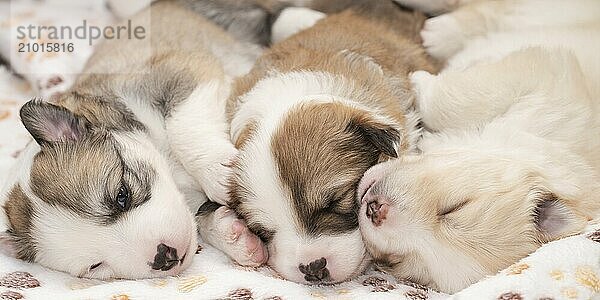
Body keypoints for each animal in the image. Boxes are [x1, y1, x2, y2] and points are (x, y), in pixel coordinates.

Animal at [0, 0, 274, 280]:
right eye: (96, 266)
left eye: (122, 195)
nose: (164, 257)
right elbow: (201, 216)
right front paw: (235, 237)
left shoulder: (181, 69)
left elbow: (181, 124)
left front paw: (218, 171)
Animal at [356, 0, 600, 292]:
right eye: (455, 207)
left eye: (399, 259)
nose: (375, 209)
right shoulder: (550, 79)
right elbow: (458, 99)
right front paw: (419, 80)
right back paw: (438, 33)